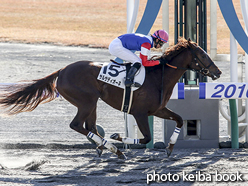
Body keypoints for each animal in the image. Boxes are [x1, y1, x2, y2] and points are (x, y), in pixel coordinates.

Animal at [0, 37, 221, 158]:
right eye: (203, 55)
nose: (218, 72)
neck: (159, 77)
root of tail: (61, 71)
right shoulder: (140, 112)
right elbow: (146, 138)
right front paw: (118, 137)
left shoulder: (158, 109)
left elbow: (180, 120)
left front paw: (170, 147)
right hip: (86, 101)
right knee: (77, 125)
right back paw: (113, 148)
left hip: (92, 103)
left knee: (89, 126)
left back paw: (106, 147)